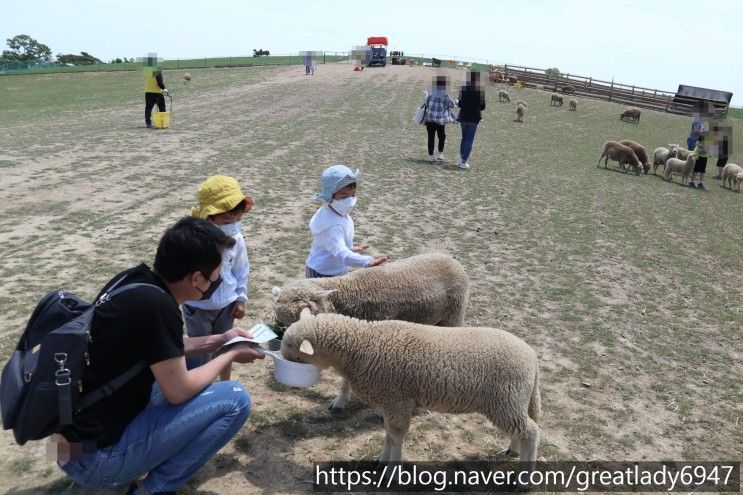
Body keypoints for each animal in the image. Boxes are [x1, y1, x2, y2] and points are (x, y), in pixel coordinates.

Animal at [282, 310, 544, 468]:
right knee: (524, 428)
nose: (283, 362)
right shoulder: (389, 403)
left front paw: (393, 466)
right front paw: (382, 460)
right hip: (512, 402)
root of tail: (531, 357)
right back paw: (513, 450)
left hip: (505, 400)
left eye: (296, 354)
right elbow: (388, 433)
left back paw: (523, 477)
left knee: (531, 431)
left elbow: (397, 435)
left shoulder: (396, 401)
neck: (362, 345)